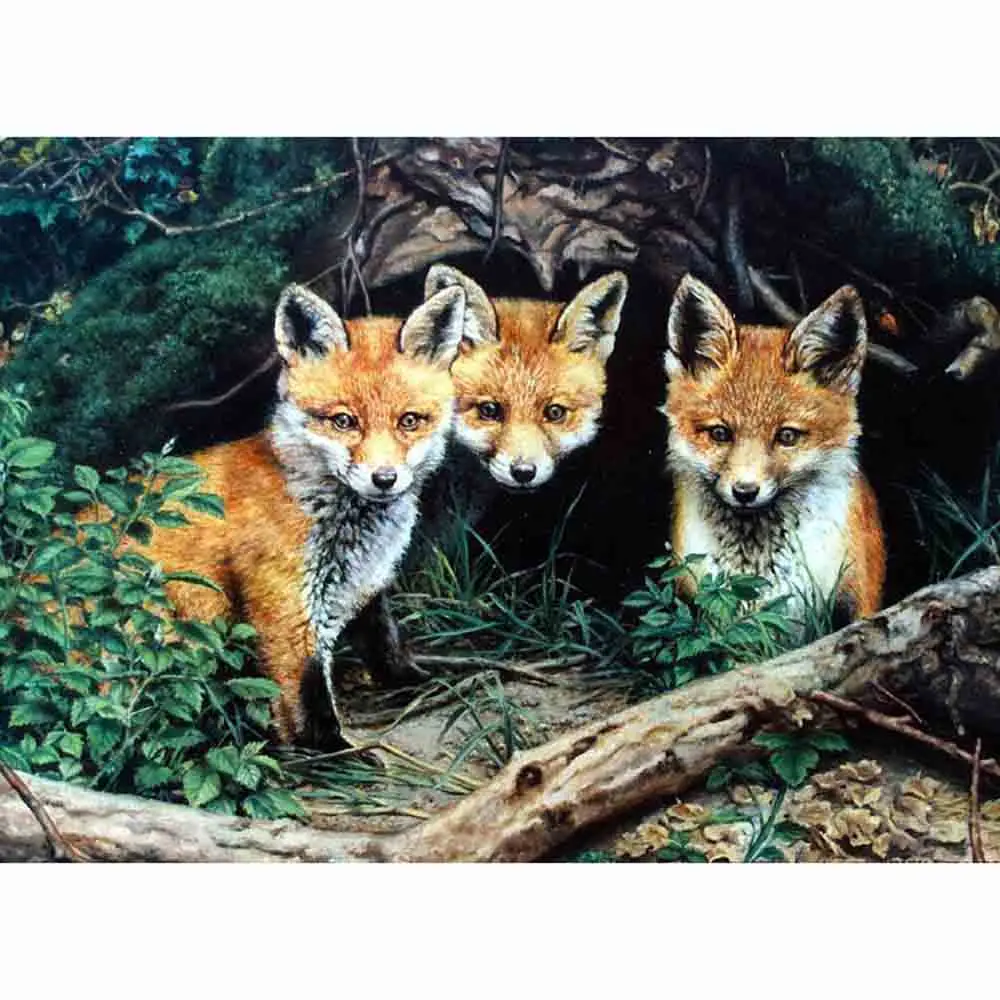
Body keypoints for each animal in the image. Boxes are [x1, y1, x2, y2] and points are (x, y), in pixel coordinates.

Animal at [132, 282, 467, 751]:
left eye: (410, 421)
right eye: (344, 421)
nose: (385, 479)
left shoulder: (366, 583)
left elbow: (385, 643)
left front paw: (416, 681)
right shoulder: (285, 606)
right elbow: (306, 696)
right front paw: (331, 752)